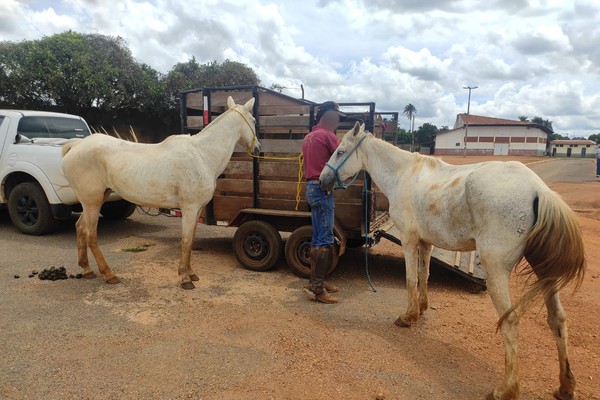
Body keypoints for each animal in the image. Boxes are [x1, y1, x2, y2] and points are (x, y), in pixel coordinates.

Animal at [62, 97, 260, 290]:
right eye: (253, 120)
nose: (258, 148)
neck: (201, 155)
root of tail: (76, 145)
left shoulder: (196, 210)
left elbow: (191, 240)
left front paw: (191, 273)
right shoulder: (189, 208)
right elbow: (186, 241)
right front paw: (185, 278)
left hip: (96, 199)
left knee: (80, 228)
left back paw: (87, 269)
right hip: (92, 201)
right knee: (91, 235)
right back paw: (110, 275)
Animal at [318, 121, 584, 400]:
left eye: (340, 152)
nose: (322, 180)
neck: (404, 175)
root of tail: (538, 189)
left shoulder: (409, 241)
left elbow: (411, 279)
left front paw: (407, 317)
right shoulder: (425, 243)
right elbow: (424, 276)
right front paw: (421, 308)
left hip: (496, 272)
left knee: (510, 321)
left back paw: (505, 389)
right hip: (545, 273)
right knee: (557, 319)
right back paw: (565, 386)